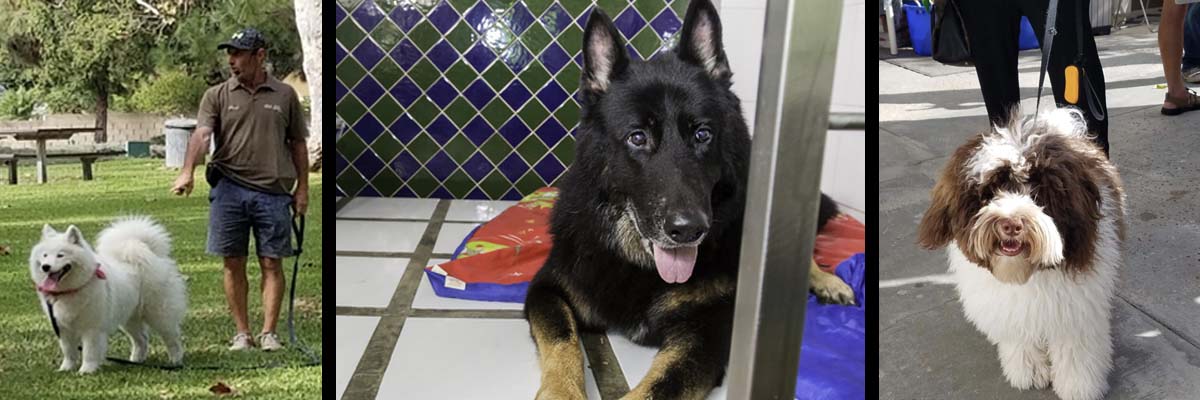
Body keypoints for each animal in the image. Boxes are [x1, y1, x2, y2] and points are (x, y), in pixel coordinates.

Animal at [30, 216, 187, 373]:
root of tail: (150, 254)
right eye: (45, 255)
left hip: (160, 315)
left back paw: (176, 361)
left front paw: (86, 370)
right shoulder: (63, 329)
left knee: (173, 339)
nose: (45, 267)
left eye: (60, 255)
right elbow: (69, 352)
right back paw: (136, 360)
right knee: (142, 339)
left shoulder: (92, 328)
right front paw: (66, 369)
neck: (70, 290)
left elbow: (89, 351)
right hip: (130, 318)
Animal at [523, 0, 854, 398]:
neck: (638, 263)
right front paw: (561, 391)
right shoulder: (547, 290)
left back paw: (827, 281)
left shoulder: (707, 333)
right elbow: (562, 338)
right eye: (637, 137)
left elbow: (660, 385)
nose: (689, 230)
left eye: (702, 134)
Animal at [917, 108, 1124, 400]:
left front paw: (1078, 386)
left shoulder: (1076, 307)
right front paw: (1029, 371)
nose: (1011, 224)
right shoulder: (1012, 309)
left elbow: (1075, 349)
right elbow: (1020, 339)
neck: (1024, 272)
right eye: (990, 192)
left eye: (1037, 193)